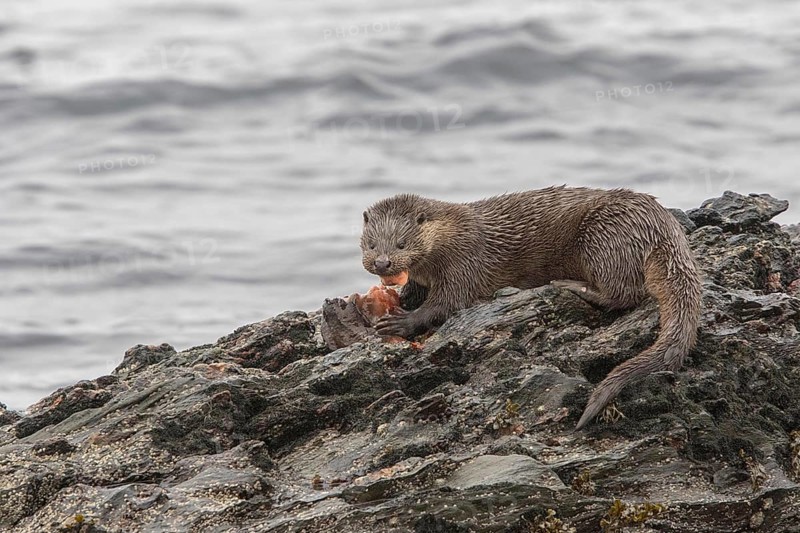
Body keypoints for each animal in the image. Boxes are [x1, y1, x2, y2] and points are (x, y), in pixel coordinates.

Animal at [360, 186, 702, 430]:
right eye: (372, 244)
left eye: (402, 243)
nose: (382, 263)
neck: (448, 237)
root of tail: (663, 227)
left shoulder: (464, 262)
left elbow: (447, 304)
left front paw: (401, 322)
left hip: (604, 238)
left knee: (624, 293)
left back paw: (569, 285)